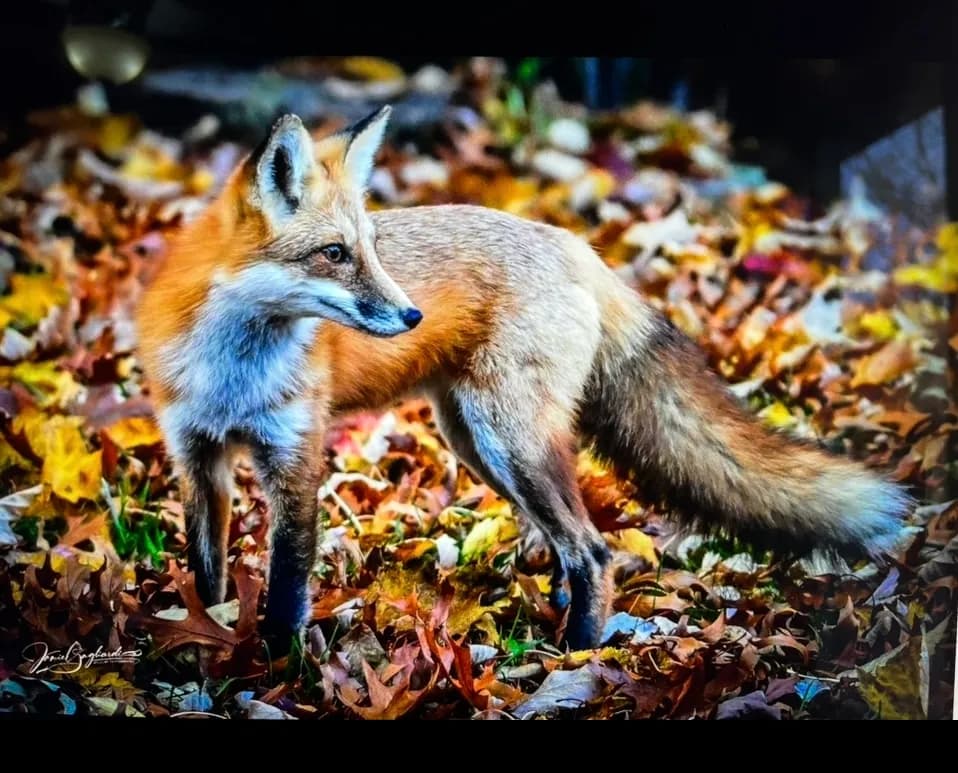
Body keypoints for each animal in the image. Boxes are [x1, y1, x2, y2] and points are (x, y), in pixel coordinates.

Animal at [134, 106, 912, 651]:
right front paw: (209, 639)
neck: (232, 373)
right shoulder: (197, 454)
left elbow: (289, 586)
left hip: (508, 441)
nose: (411, 313)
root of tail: (576, 244)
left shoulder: (295, 455)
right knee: (569, 547)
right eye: (334, 253)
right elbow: (207, 573)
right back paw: (560, 621)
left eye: (373, 248)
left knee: (593, 549)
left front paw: (277, 667)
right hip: (480, 444)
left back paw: (579, 654)